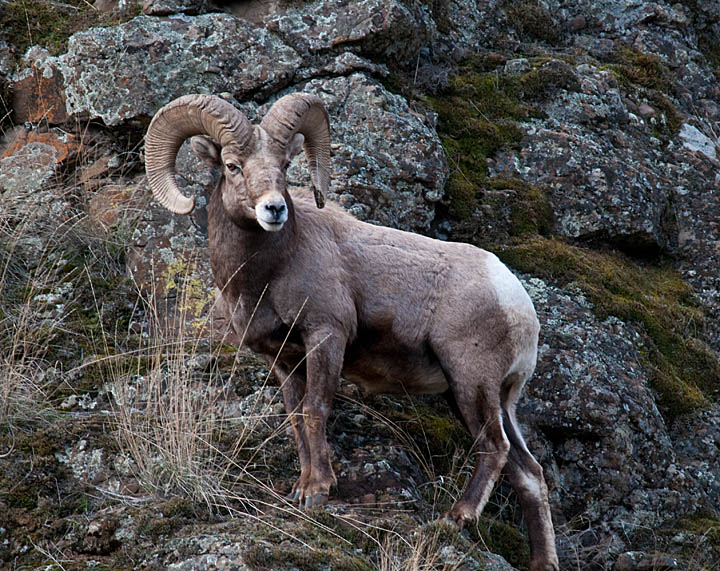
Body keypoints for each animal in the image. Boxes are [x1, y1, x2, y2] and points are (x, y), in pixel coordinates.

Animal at [144, 92, 559, 570]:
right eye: (232, 165)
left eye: (286, 164)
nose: (274, 209)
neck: (267, 272)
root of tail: (518, 304)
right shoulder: (284, 360)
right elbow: (296, 417)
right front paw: (300, 488)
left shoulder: (326, 336)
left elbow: (316, 409)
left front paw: (318, 490)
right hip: (493, 398)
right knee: (529, 473)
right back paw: (542, 562)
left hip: (471, 383)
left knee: (494, 448)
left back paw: (456, 517)